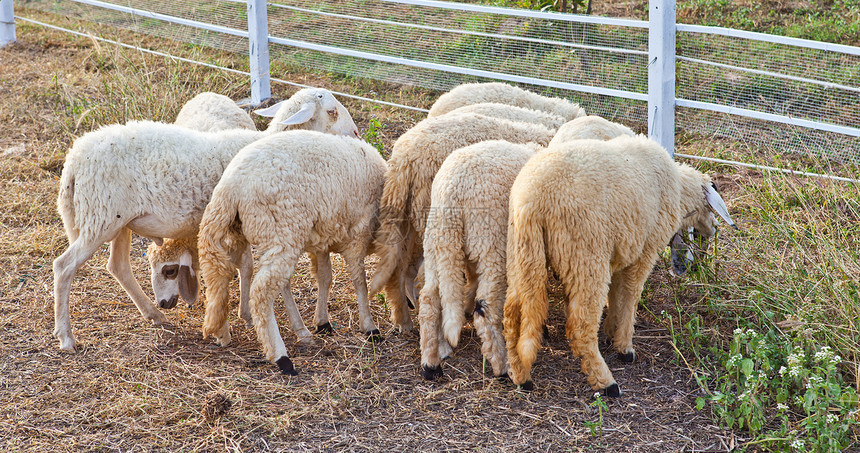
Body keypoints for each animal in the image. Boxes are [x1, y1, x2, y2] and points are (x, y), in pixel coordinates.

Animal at [50, 87, 360, 350]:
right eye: (332, 111)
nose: (356, 133)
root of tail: (73, 161)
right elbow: (246, 269)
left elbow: (245, 267)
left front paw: (243, 312)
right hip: (100, 217)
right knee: (64, 267)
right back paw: (66, 336)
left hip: (117, 221)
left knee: (118, 266)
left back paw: (153, 314)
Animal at [198, 130, 386, 374]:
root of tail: (230, 187)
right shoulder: (358, 233)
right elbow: (359, 281)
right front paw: (370, 327)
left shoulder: (323, 238)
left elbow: (325, 277)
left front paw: (322, 322)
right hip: (282, 230)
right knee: (261, 292)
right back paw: (281, 357)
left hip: (241, 233)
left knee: (220, 277)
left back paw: (222, 332)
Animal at [504, 135, 732, 396]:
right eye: (710, 205)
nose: (715, 228)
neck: (678, 190)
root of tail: (531, 201)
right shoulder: (644, 250)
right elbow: (631, 295)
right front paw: (624, 346)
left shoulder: (619, 251)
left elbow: (615, 294)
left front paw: (610, 330)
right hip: (585, 256)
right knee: (580, 326)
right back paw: (605, 382)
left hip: (523, 254)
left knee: (511, 315)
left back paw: (520, 375)